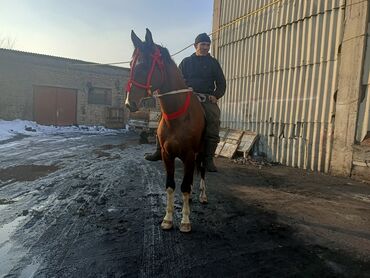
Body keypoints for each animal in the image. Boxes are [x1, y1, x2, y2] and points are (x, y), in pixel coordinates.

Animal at [125, 28, 207, 232]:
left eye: (145, 65)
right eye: (130, 64)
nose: (129, 103)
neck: (178, 117)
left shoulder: (189, 154)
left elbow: (184, 186)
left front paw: (185, 221)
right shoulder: (167, 154)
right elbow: (170, 185)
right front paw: (168, 219)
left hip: (201, 152)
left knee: (202, 169)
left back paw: (202, 195)